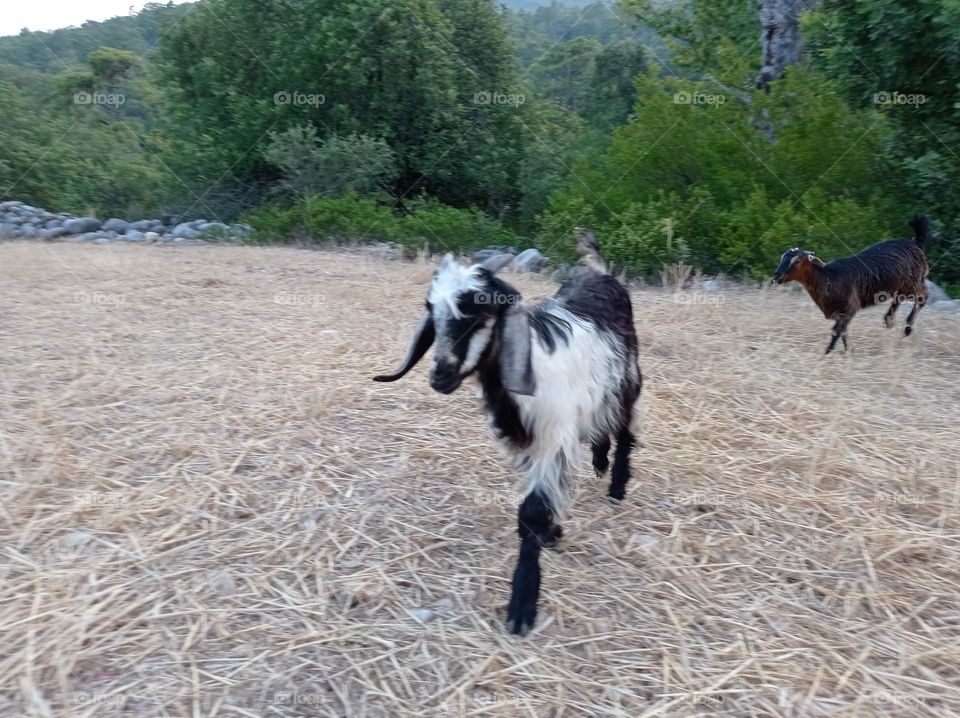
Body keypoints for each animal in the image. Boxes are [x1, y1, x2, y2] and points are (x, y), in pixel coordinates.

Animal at [373, 230, 642, 635]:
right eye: (432, 311)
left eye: (481, 313)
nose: (440, 376)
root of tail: (599, 272)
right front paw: (552, 533)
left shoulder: (553, 438)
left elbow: (532, 511)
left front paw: (522, 604)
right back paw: (599, 462)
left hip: (627, 379)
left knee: (625, 428)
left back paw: (617, 486)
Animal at [772, 214, 931, 354]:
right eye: (782, 257)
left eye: (797, 261)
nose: (776, 276)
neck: (827, 278)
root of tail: (915, 242)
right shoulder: (840, 313)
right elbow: (843, 333)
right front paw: (848, 352)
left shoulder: (849, 308)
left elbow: (836, 332)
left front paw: (827, 355)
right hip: (901, 285)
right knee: (900, 299)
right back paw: (889, 320)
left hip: (913, 282)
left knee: (923, 296)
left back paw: (907, 328)